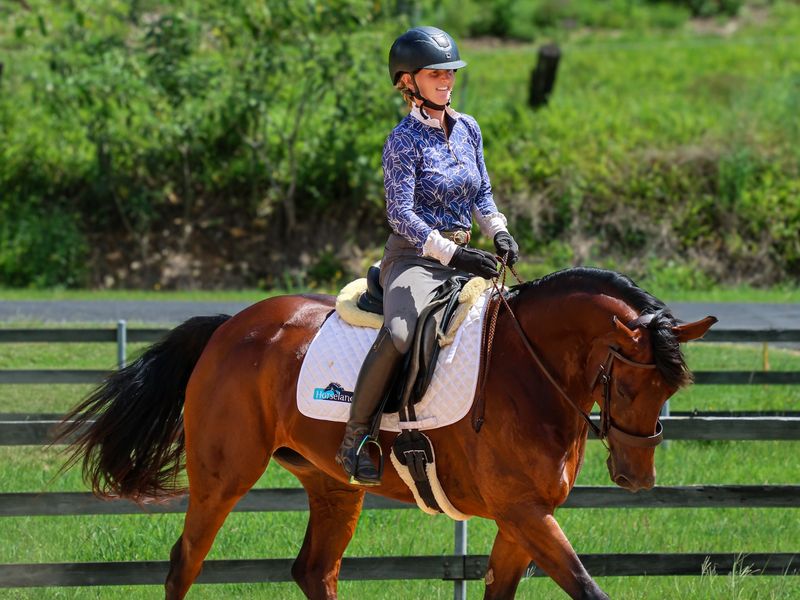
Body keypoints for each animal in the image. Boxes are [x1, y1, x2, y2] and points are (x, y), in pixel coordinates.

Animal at [57, 266, 715, 599]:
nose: (637, 478)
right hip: (223, 477)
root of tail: (231, 326)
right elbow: (586, 587)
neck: (529, 369)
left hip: (334, 485)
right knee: (184, 563)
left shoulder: (522, 518)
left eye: (671, 389)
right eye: (627, 385)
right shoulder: (523, 512)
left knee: (314, 571)